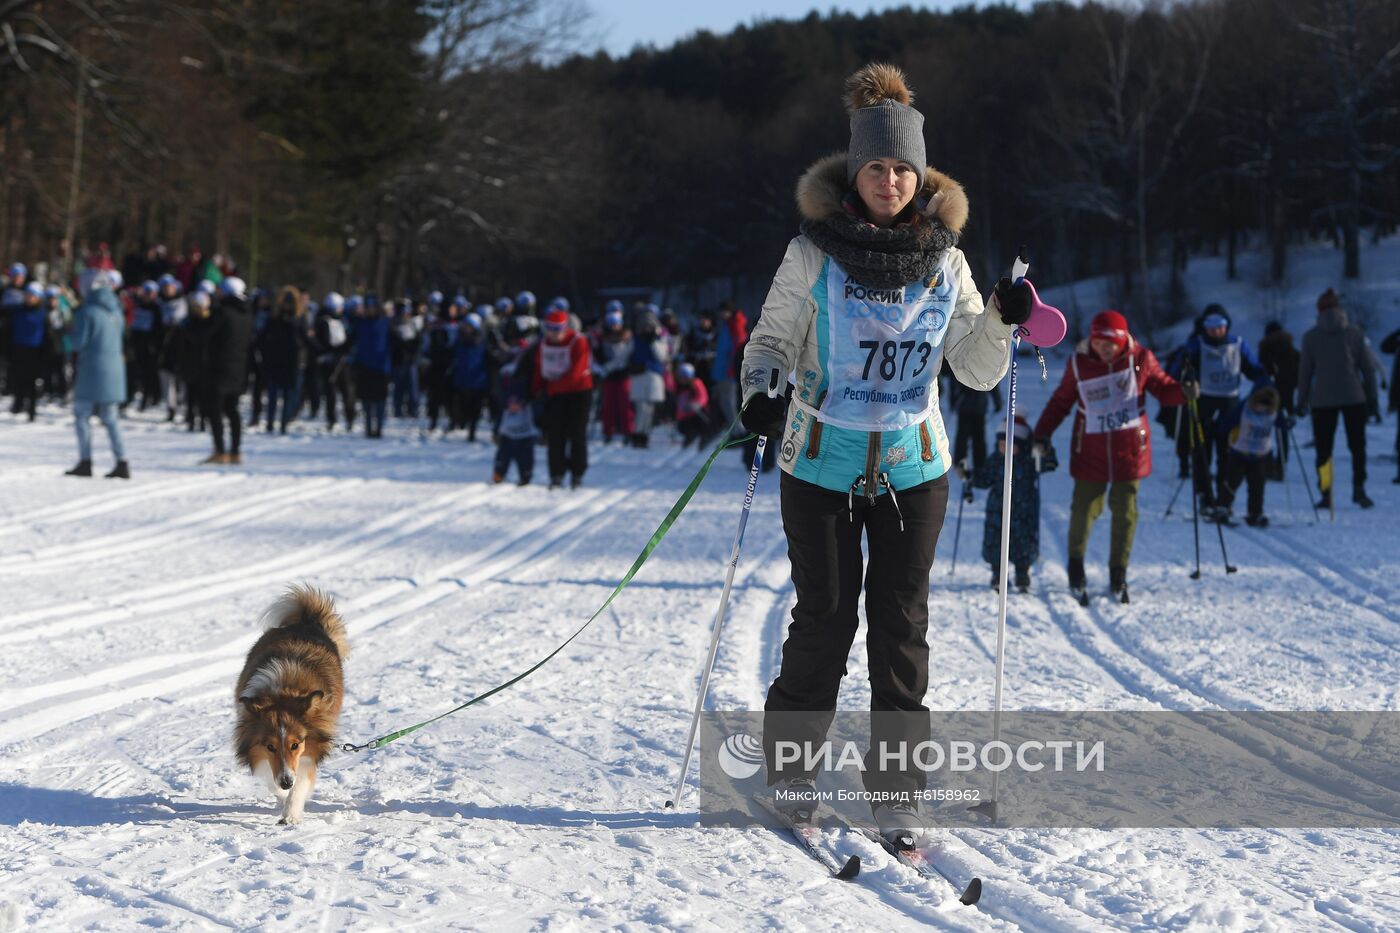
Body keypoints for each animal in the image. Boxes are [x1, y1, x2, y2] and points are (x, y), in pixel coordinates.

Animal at [232, 582, 347, 823]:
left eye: (295, 745)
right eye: (270, 746)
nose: (286, 782)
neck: (282, 691)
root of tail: (306, 622)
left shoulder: (308, 752)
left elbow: (301, 783)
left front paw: (291, 815)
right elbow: (271, 781)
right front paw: (282, 797)